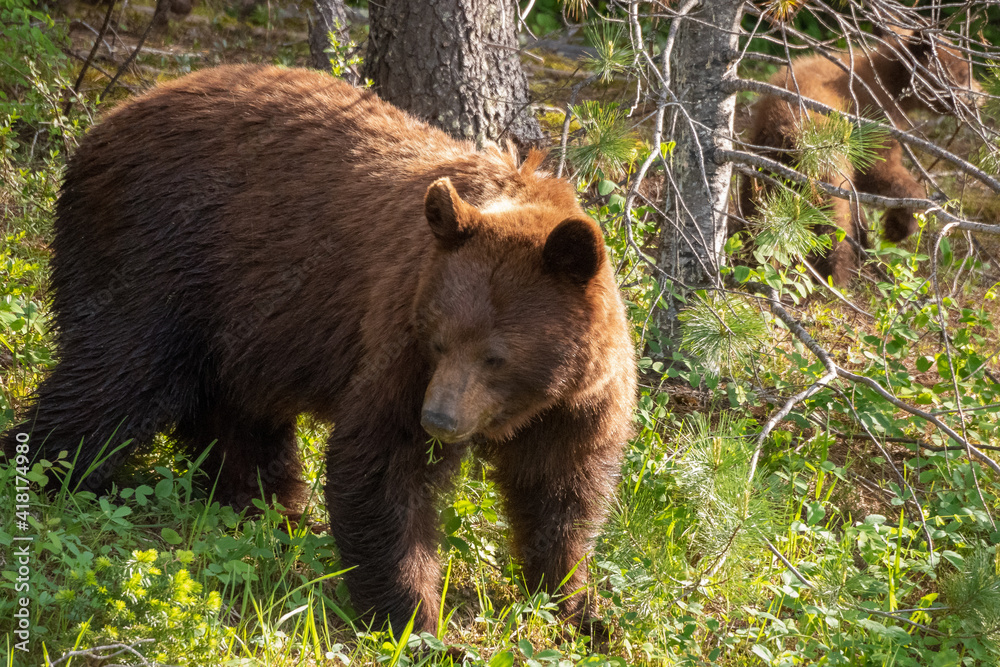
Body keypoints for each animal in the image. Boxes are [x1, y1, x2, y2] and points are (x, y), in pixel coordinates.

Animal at [1, 65, 640, 636]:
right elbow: (381, 462)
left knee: (235, 414)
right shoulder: (399, 333)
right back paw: (39, 472)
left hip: (238, 318)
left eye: (496, 355)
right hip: (157, 254)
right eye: (439, 340)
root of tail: (101, 125)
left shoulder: (578, 402)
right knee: (114, 379)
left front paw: (582, 607)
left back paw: (265, 504)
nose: (439, 419)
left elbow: (561, 493)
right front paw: (413, 619)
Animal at [740, 28, 980, 286]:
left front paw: (869, 241)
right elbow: (877, 169)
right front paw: (896, 228)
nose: (980, 97)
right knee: (833, 222)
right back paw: (838, 276)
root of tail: (789, 130)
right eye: (963, 73)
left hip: (764, 162)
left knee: (758, 207)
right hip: (826, 167)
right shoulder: (874, 117)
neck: (889, 81)